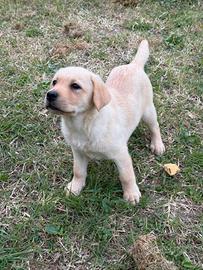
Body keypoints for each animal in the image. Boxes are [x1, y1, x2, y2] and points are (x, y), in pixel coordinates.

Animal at [44, 40, 165, 204]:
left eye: (75, 86)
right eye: (54, 82)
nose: (50, 95)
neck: (82, 124)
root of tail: (133, 65)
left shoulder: (121, 153)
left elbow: (127, 176)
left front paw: (131, 194)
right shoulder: (77, 151)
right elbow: (78, 171)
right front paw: (75, 187)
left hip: (148, 111)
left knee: (155, 126)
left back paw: (157, 144)